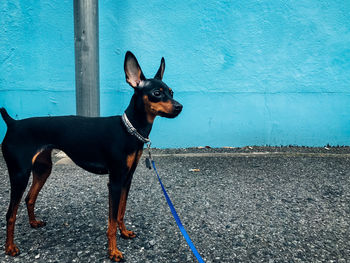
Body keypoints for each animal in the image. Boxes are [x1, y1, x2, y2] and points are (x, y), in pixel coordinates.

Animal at [0, 51, 183, 262]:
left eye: (171, 92)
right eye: (157, 93)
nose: (179, 106)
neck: (129, 129)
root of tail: (13, 123)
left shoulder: (127, 179)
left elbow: (121, 212)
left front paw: (124, 232)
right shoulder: (115, 182)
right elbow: (111, 220)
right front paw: (113, 251)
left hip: (43, 169)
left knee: (30, 198)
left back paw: (34, 223)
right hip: (19, 174)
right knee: (10, 214)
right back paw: (10, 247)